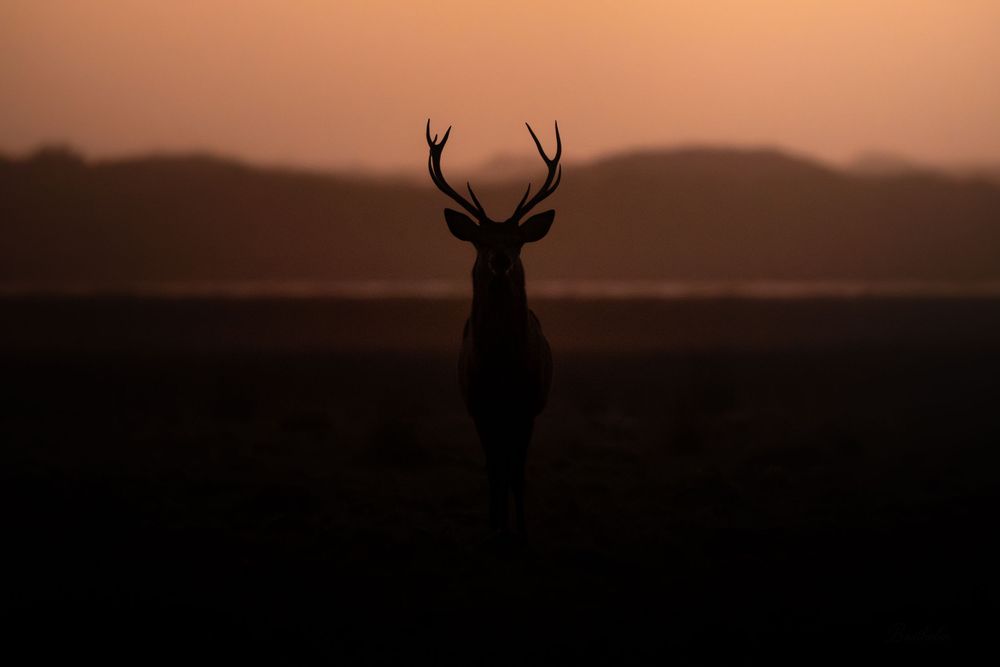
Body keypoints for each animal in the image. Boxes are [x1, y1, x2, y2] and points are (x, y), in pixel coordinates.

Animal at [426, 119, 562, 539]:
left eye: (518, 242)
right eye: (479, 240)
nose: (500, 259)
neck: (502, 366)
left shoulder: (527, 406)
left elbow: (516, 473)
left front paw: (520, 531)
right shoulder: (479, 406)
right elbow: (493, 472)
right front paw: (494, 528)